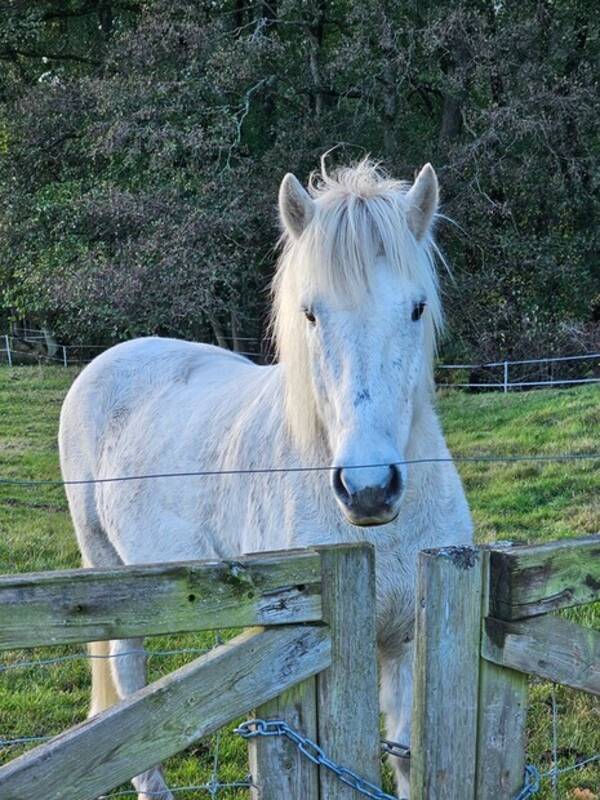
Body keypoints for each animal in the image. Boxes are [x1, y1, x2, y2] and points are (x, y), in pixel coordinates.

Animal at [61, 158, 474, 800]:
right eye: (310, 314)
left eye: (416, 308)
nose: (368, 488)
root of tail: (112, 357)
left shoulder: (406, 641)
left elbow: (408, 758)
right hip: (109, 574)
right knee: (127, 675)